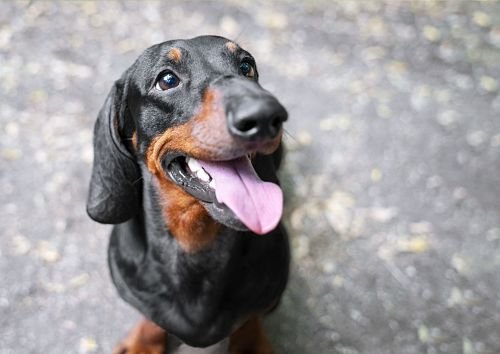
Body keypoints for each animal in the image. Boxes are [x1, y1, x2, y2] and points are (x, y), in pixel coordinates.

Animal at [86, 36, 290, 354]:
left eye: (247, 66)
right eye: (167, 80)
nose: (267, 114)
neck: (195, 237)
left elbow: (249, 319)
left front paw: (250, 343)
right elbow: (152, 317)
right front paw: (143, 341)